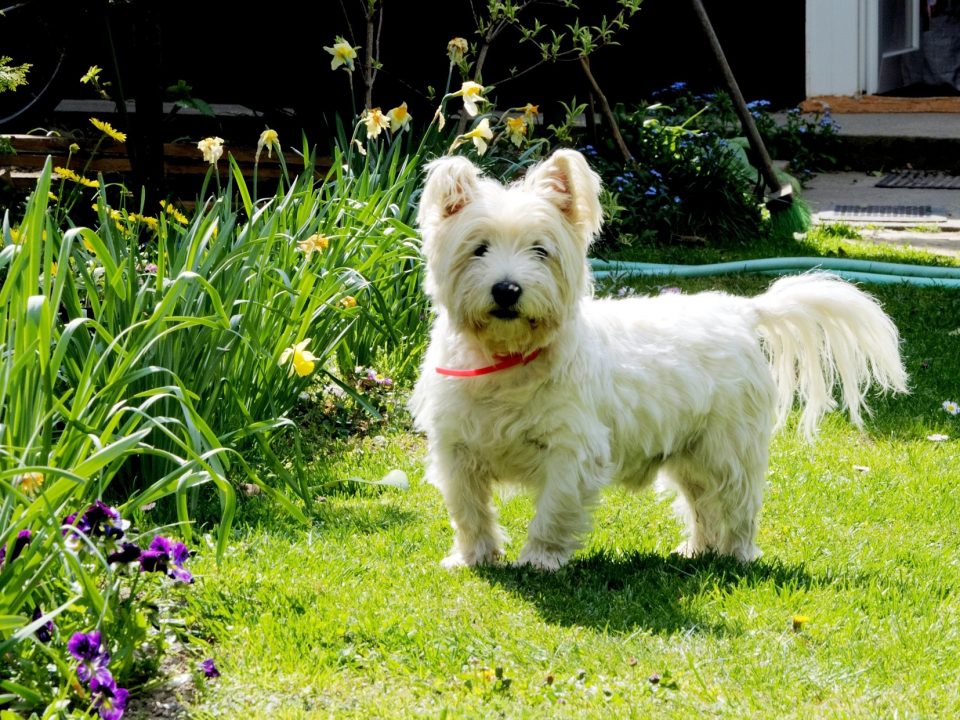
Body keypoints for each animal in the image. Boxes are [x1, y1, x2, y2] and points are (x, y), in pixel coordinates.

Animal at [406, 149, 908, 572]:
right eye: (479, 248)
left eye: (540, 250)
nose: (507, 290)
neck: (506, 360)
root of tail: (743, 310)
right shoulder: (456, 450)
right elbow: (469, 511)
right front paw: (472, 558)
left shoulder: (572, 451)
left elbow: (553, 510)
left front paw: (540, 560)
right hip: (690, 454)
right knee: (702, 504)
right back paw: (697, 551)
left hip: (728, 448)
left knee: (738, 504)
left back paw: (736, 556)